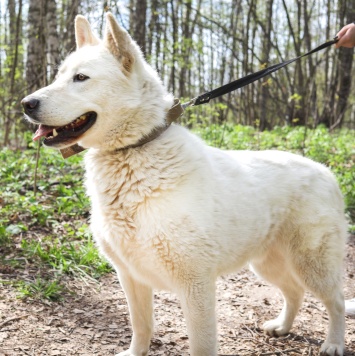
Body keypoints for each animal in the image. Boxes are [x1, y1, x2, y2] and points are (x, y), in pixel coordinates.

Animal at [22, 12, 348, 354]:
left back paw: (333, 343)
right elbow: (141, 326)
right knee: (294, 292)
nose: (25, 103)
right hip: (268, 264)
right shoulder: (130, 277)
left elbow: (201, 344)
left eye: (81, 78)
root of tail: (327, 172)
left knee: (336, 302)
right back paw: (282, 327)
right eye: (59, 76)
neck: (135, 150)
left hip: (312, 265)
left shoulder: (196, 286)